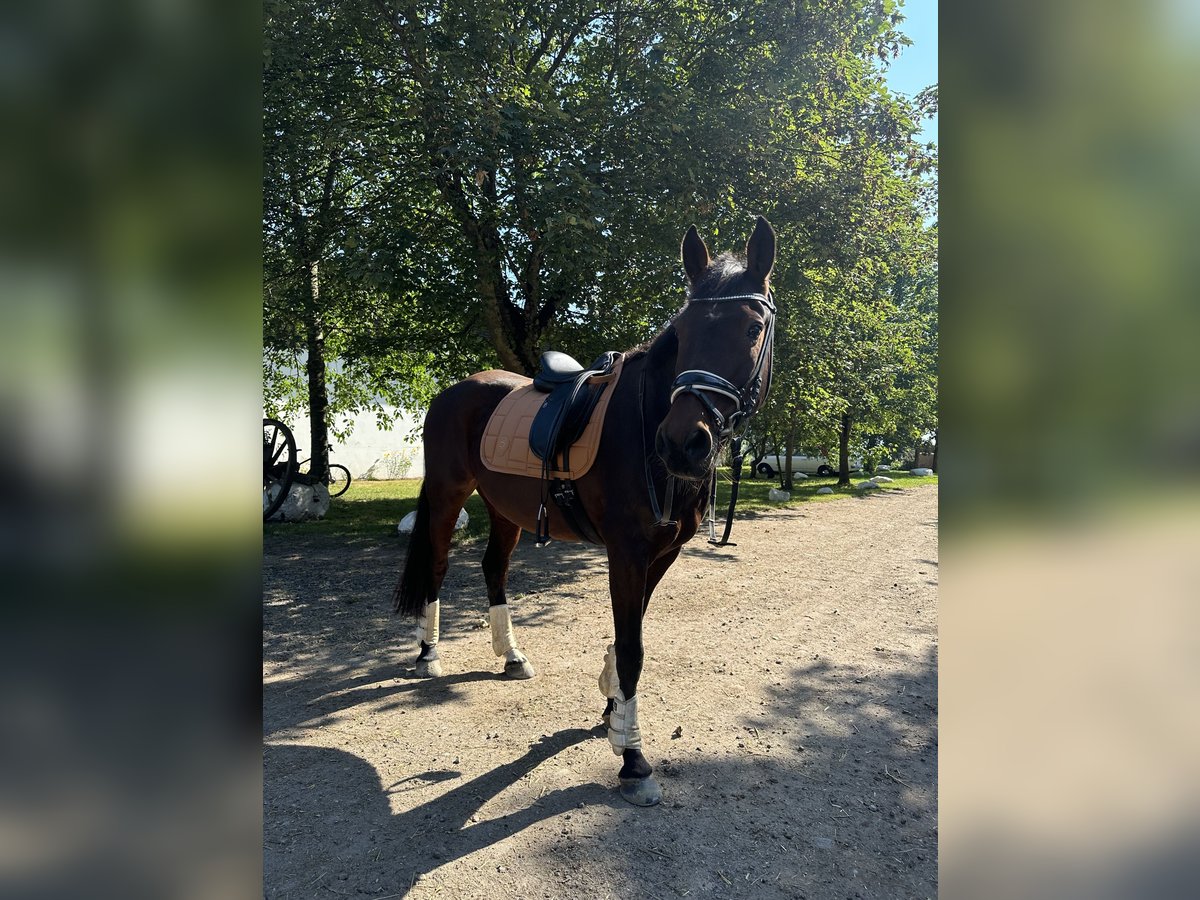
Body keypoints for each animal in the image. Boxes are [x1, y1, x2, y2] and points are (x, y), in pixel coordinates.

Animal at [388, 220, 772, 811]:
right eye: (683, 330)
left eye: (753, 327)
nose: (682, 443)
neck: (645, 419)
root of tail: (455, 390)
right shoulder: (627, 551)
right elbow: (633, 646)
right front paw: (633, 759)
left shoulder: (662, 553)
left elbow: (631, 631)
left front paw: (614, 713)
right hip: (450, 496)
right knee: (436, 566)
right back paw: (429, 654)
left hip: (505, 507)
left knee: (494, 569)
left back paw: (511, 655)